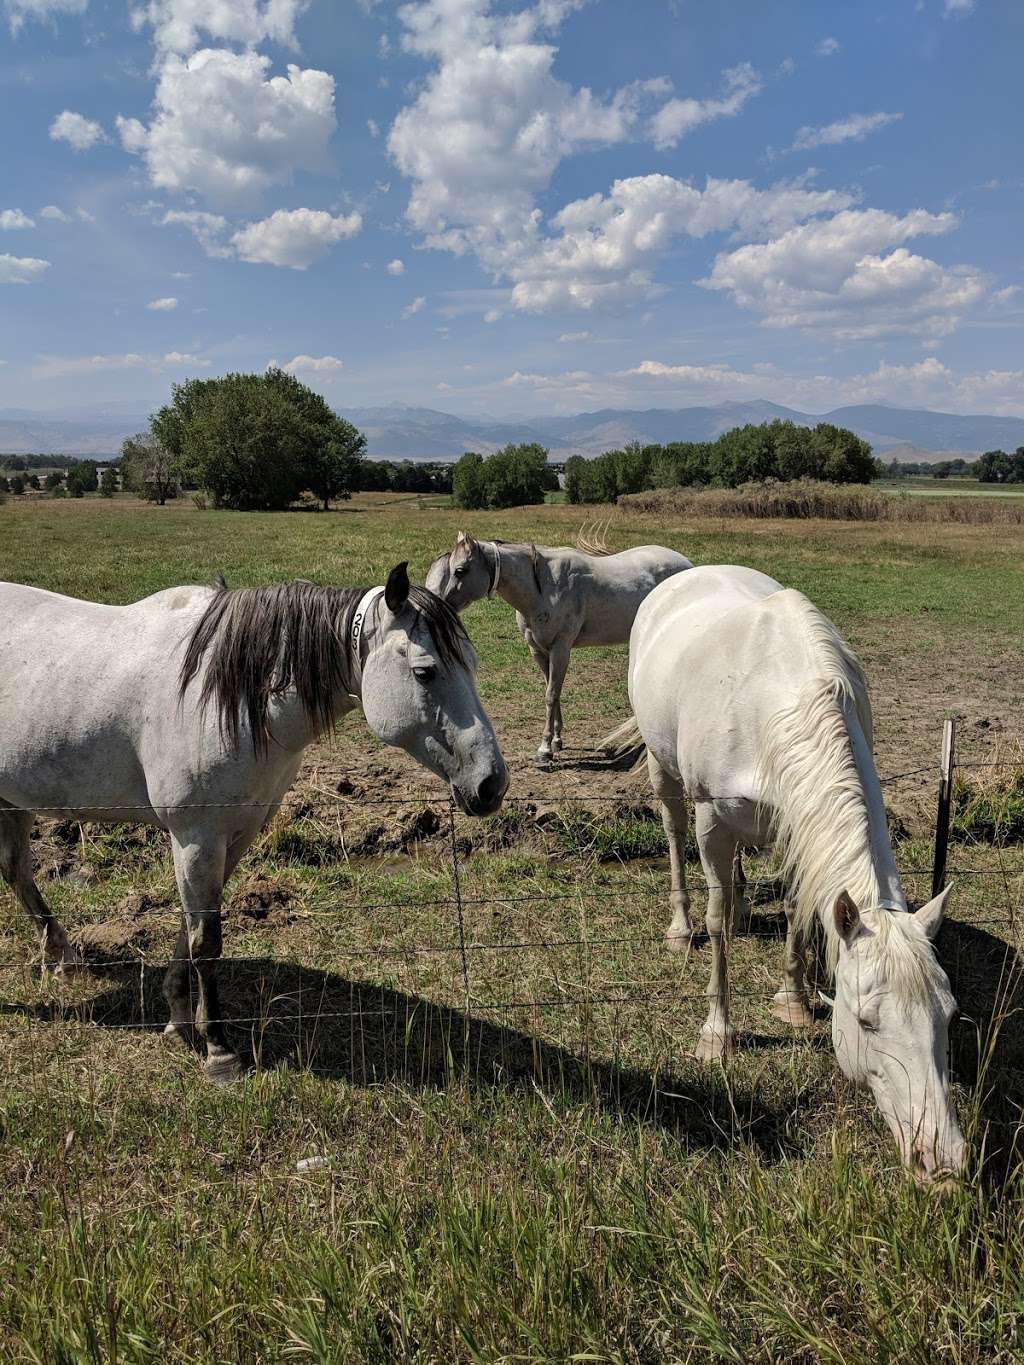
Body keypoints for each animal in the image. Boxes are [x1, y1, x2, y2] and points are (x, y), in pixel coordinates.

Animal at [1, 559, 510, 1081]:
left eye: (472, 663)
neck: (228, 699)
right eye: (425, 672)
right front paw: (219, 1051)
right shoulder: (196, 837)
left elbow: (190, 929)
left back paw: (63, 958)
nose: (491, 784)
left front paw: (178, 1019)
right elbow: (206, 941)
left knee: (17, 872)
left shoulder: (235, 835)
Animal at [425, 529, 690, 764]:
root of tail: (686, 564)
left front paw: (544, 749)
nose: (438, 606)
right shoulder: (538, 650)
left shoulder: (560, 649)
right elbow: (553, 690)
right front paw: (556, 740)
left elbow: (551, 694)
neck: (543, 588)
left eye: (460, 570)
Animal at [622, 565, 966, 1184]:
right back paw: (681, 925)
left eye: (949, 1016)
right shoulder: (712, 817)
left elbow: (796, 910)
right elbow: (715, 919)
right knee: (673, 830)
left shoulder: (796, 818)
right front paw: (718, 1032)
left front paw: (794, 999)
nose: (941, 1163)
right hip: (666, 771)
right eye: (866, 1022)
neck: (786, 696)